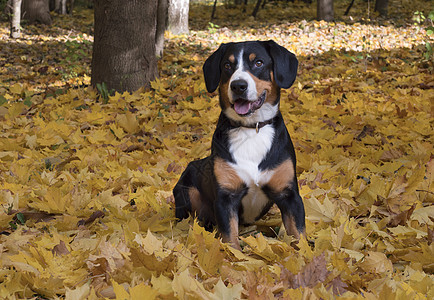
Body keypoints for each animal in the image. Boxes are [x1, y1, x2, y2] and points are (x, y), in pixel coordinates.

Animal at [173, 40, 306, 251]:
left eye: (258, 63)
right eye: (227, 65)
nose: (238, 86)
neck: (251, 128)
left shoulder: (289, 195)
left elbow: (299, 236)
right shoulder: (226, 197)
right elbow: (230, 240)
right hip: (187, 190)